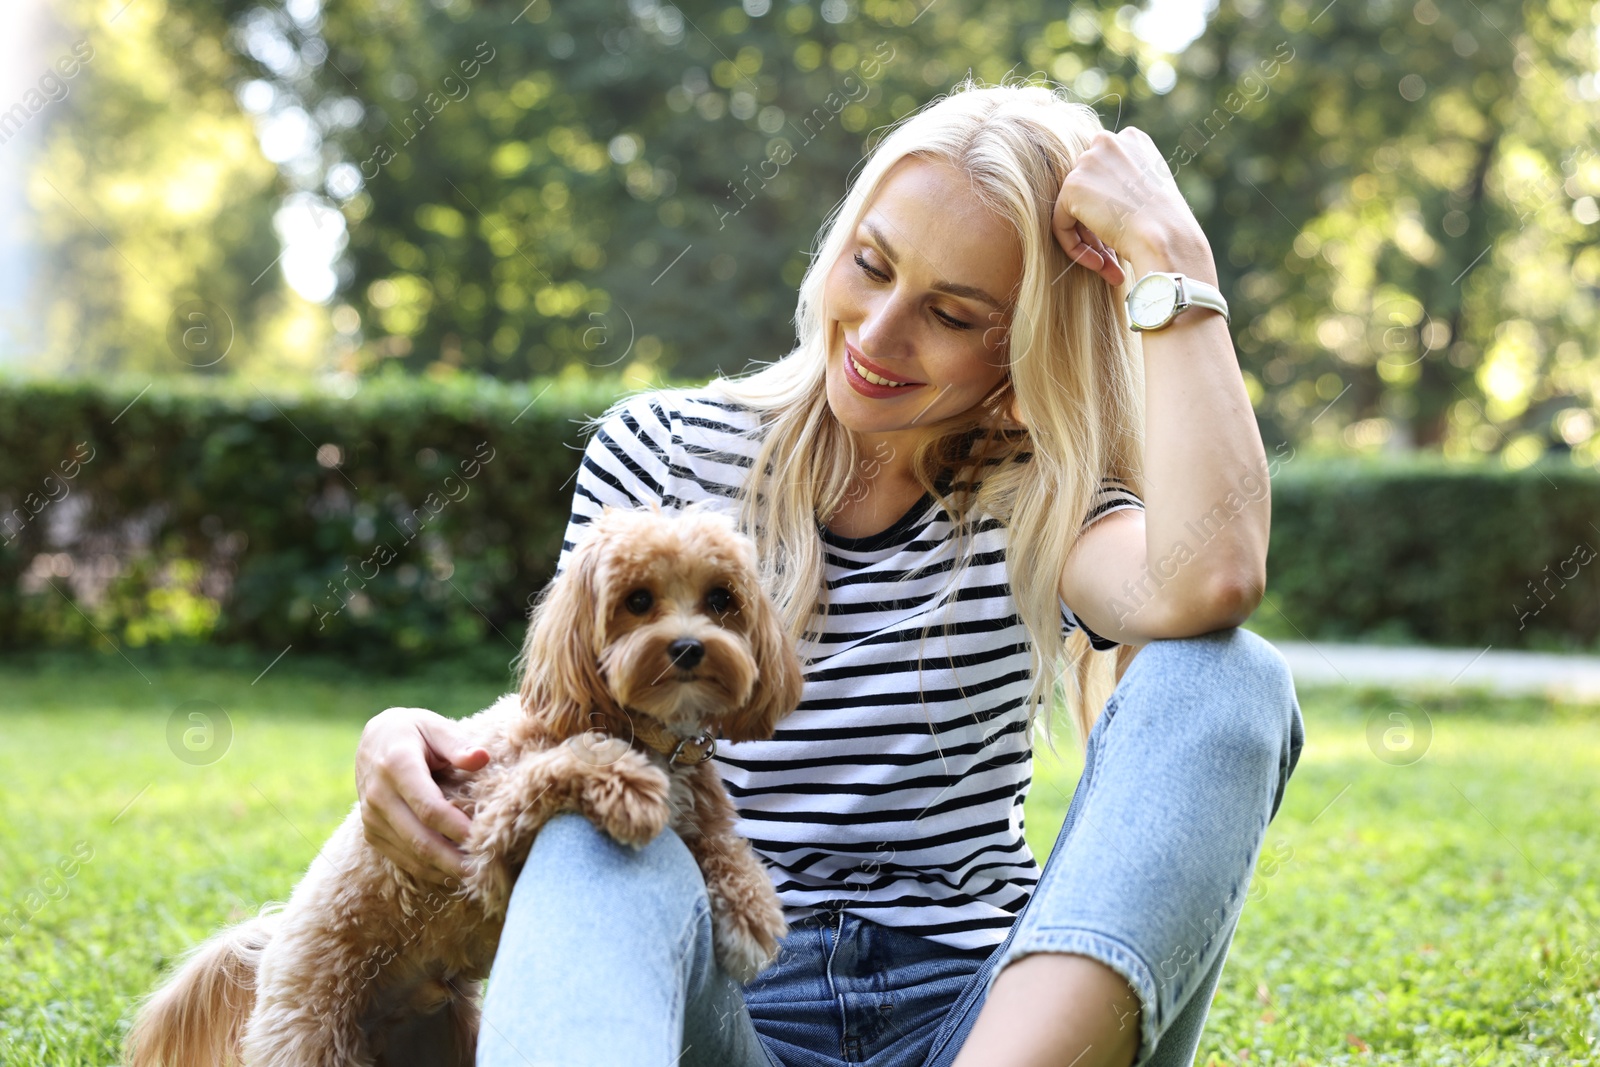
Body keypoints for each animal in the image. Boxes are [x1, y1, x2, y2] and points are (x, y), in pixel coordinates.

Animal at [124, 505, 800, 1062]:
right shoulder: (486, 823)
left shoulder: (698, 804)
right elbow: (559, 766)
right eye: (637, 600)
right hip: (310, 1032)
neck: (647, 732)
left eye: (721, 599)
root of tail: (273, 942)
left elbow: (719, 838)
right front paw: (627, 783)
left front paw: (750, 907)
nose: (688, 648)